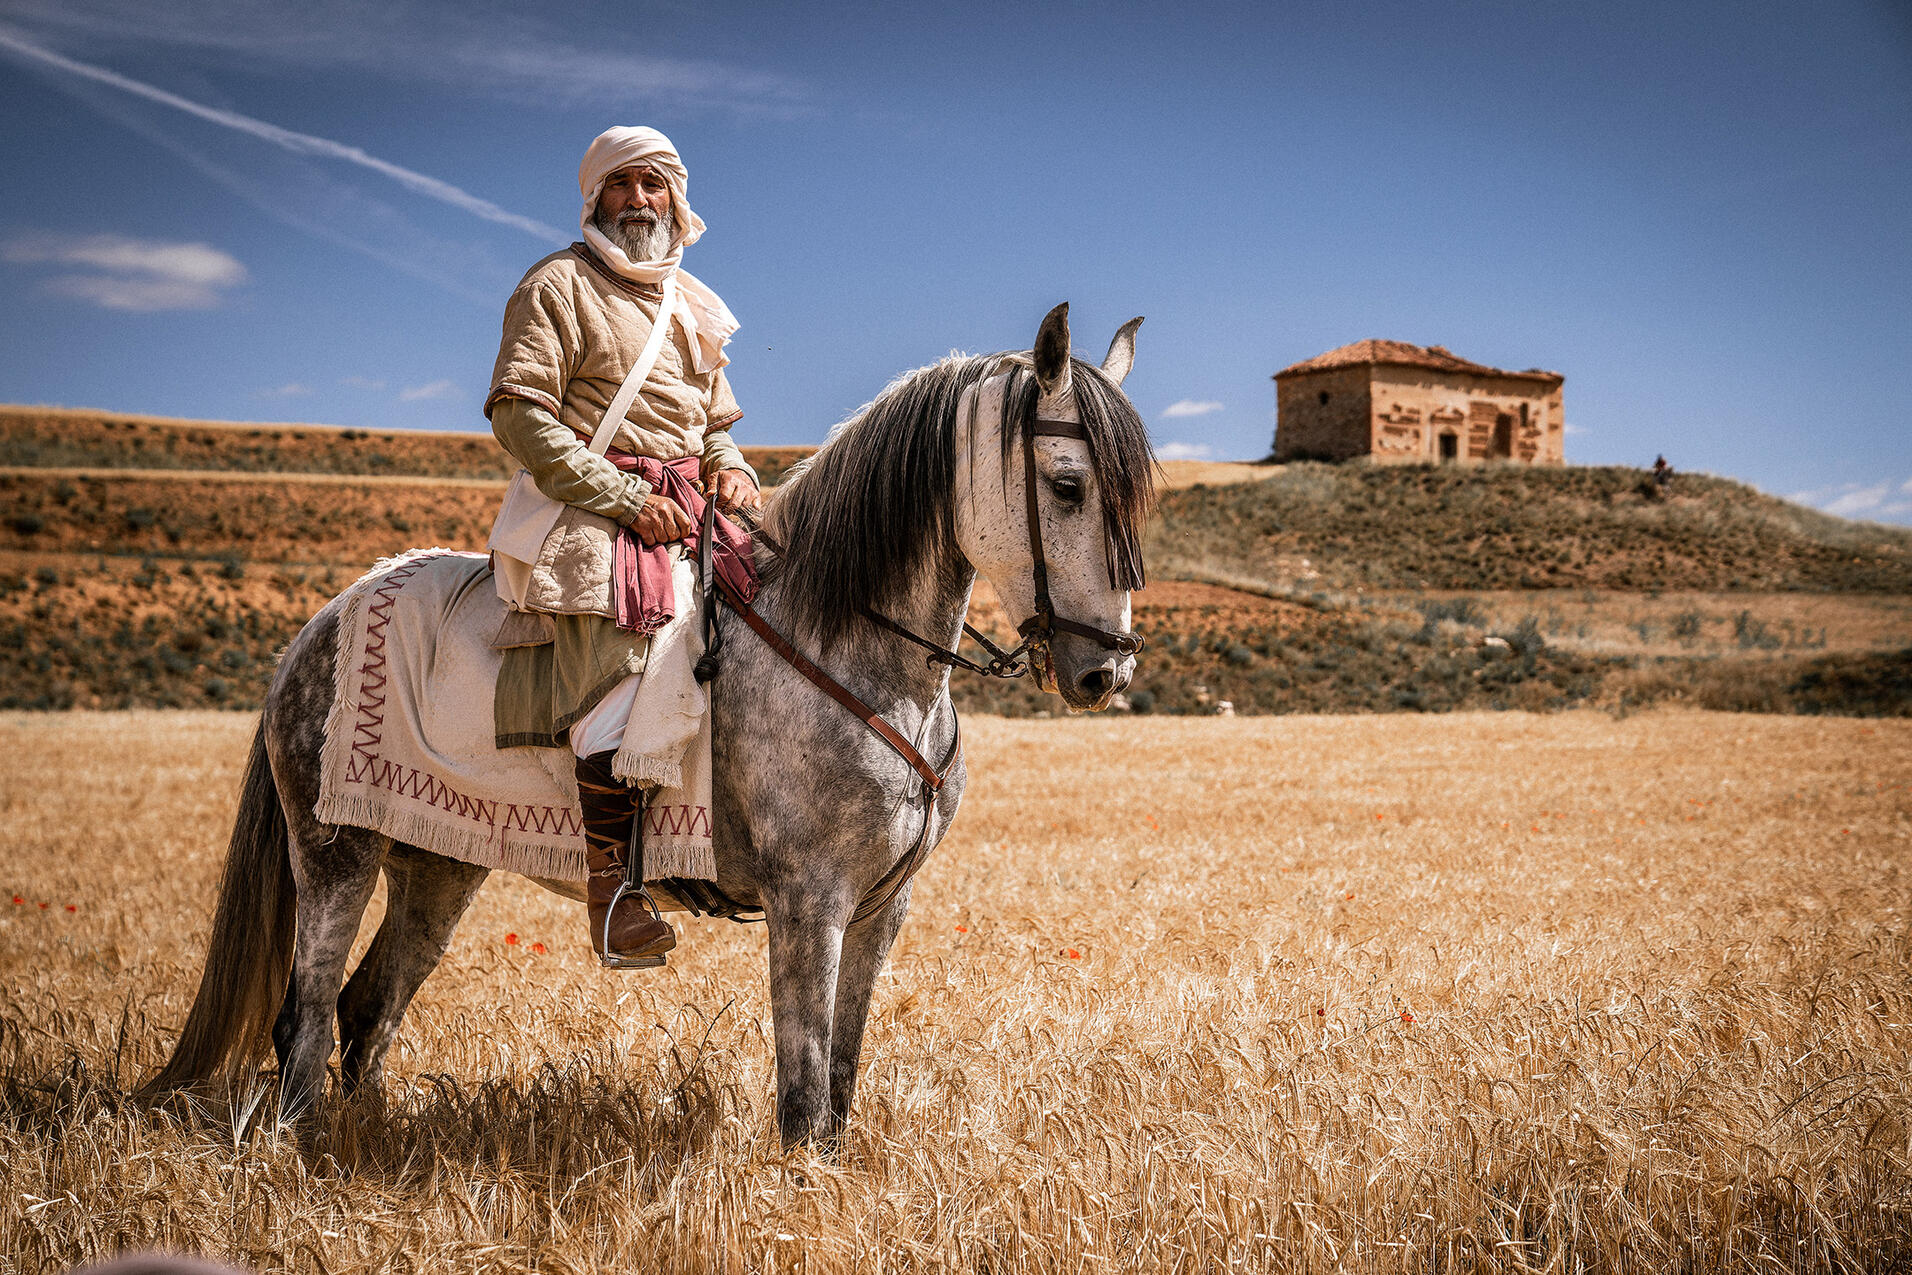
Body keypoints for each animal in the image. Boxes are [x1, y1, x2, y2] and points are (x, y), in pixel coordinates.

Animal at [141, 303, 1154, 1154]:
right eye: (1067, 485)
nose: (1106, 670)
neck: (852, 643)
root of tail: (324, 621)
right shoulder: (809, 903)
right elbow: (802, 1091)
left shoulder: (880, 906)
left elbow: (840, 1076)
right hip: (337, 855)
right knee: (306, 1018)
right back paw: (298, 1153)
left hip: (436, 864)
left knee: (367, 1012)